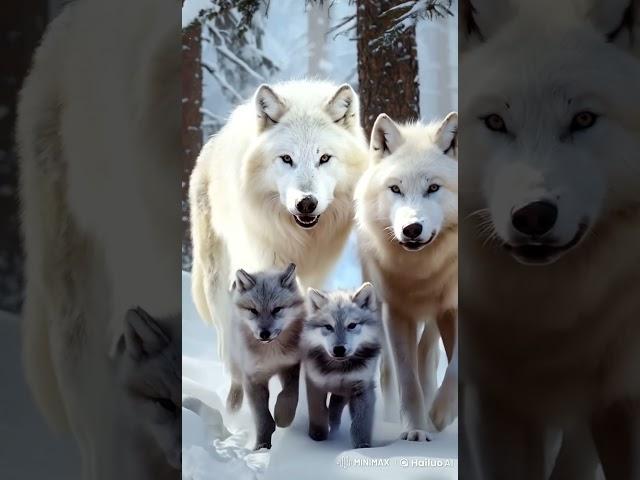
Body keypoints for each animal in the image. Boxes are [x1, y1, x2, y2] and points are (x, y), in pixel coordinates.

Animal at [190, 79, 368, 404]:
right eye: (287, 159)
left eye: (324, 158)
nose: (306, 203)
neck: (300, 239)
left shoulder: (316, 275)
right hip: (218, 281)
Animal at [352, 113, 458, 442]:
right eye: (395, 189)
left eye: (433, 188)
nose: (412, 229)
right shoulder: (397, 312)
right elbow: (407, 379)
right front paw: (415, 431)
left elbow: (456, 367)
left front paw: (439, 415)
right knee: (391, 370)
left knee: (429, 352)